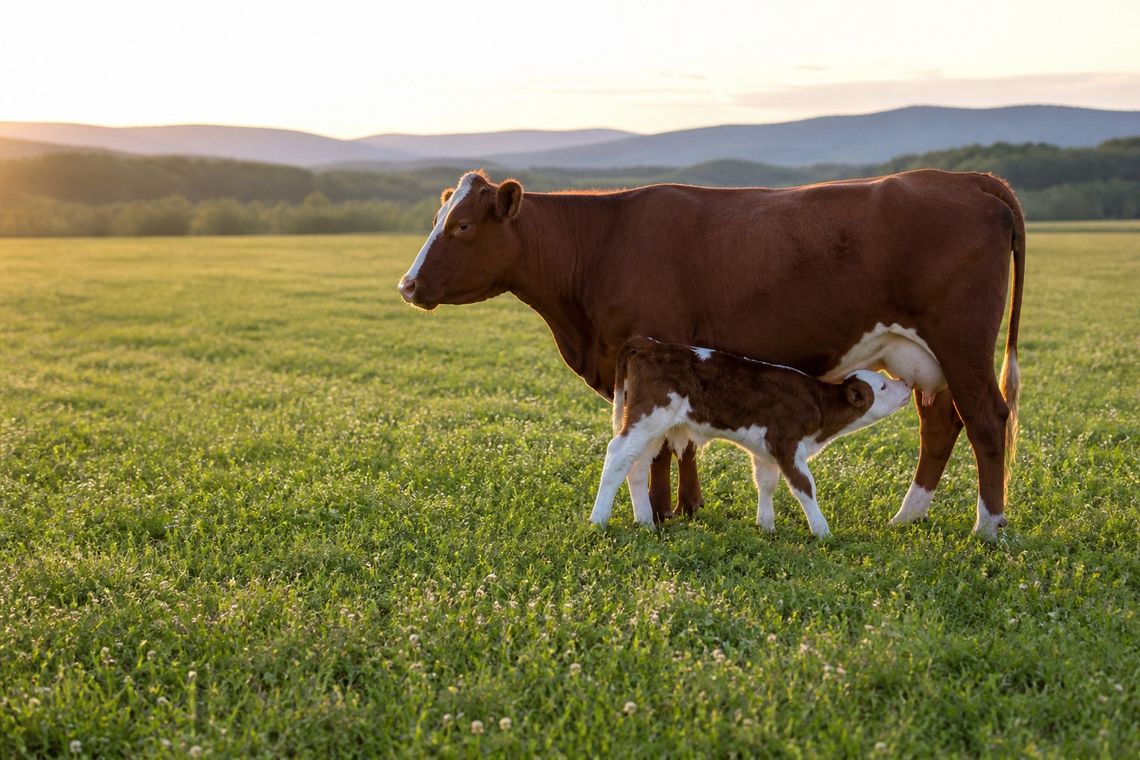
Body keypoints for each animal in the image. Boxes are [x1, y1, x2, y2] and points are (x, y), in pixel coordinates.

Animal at [589, 337, 914, 537]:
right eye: (883, 386)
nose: (907, 384)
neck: (817, 405)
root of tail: (649, 344)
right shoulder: (786, 443)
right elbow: (804, 486)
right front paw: (822, 531)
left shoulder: (766, 450)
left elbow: (767, 483)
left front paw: (767, 526)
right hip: (649, 416)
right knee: (617, 455)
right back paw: (598, 519)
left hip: (654, 427)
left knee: (636, 465)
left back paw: (645, 521)